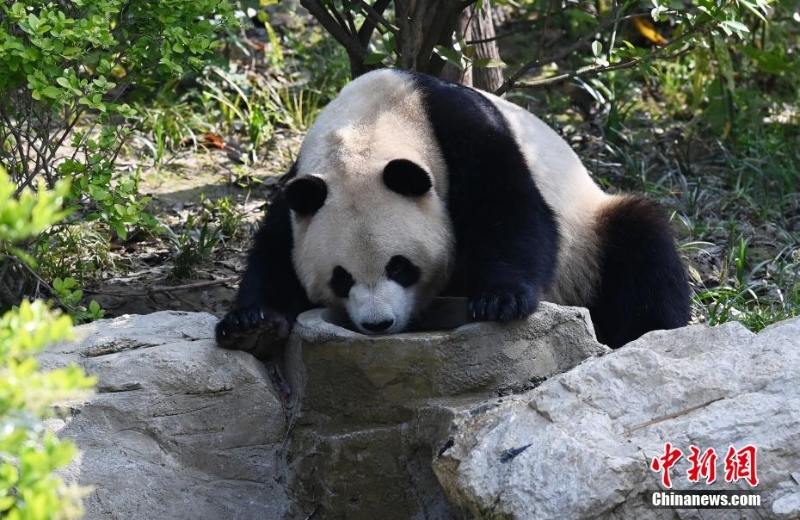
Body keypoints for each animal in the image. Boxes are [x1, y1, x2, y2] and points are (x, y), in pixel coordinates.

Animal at [216, 68, 692, 354]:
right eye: (341, 278)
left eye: (400, 266)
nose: (378, 324)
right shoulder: (301, 186)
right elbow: (275, 252)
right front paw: (252, 324)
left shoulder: (465, 133)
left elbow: (510, 209)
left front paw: (498, 300)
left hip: (589, 237)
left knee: (642, 244)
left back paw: (645, 333)